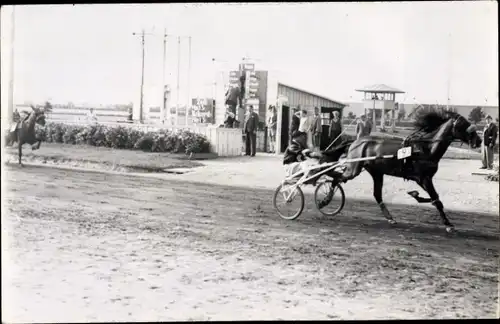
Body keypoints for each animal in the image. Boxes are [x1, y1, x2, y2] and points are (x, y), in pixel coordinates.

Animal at [340, 109, 480, 233]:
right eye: (463, 125)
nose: (479, 141)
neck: (426, 148)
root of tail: (355, 142)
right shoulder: (424, 179)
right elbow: (436, 200)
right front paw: (448, 225)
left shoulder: (424, 178)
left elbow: (435, 199)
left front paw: (415, 194)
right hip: (354, 168)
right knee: (338, 178)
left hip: (377, 172)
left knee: (377, 194)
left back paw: (390, 218)